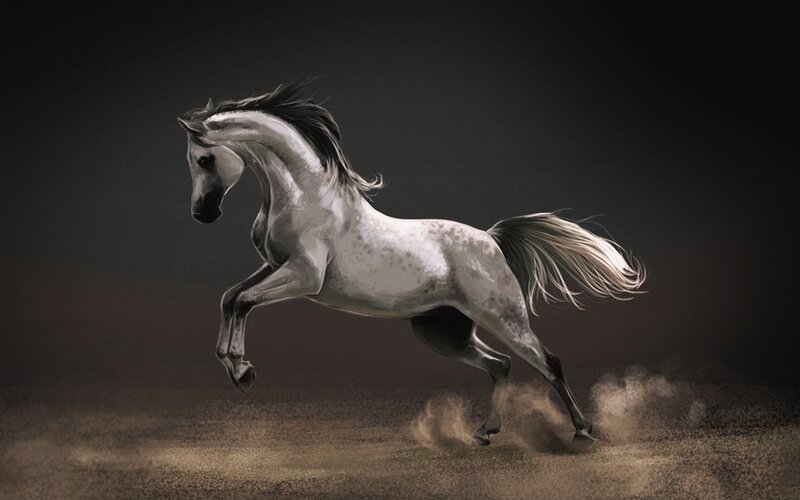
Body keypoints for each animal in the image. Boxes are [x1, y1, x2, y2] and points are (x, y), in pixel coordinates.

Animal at [178, 81, 644, 444]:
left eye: (204, 159)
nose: (202, 214)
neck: (306, 196)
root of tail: (491, 240)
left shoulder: (304, 277)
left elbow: (242, 301)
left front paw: (241, 369)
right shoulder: (274, 266)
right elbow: (230, 297)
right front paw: (235, 366)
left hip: (503, 317)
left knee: (548, 363)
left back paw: (583, 430)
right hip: (442, 331)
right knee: (500, 365)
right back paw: (485, 432)